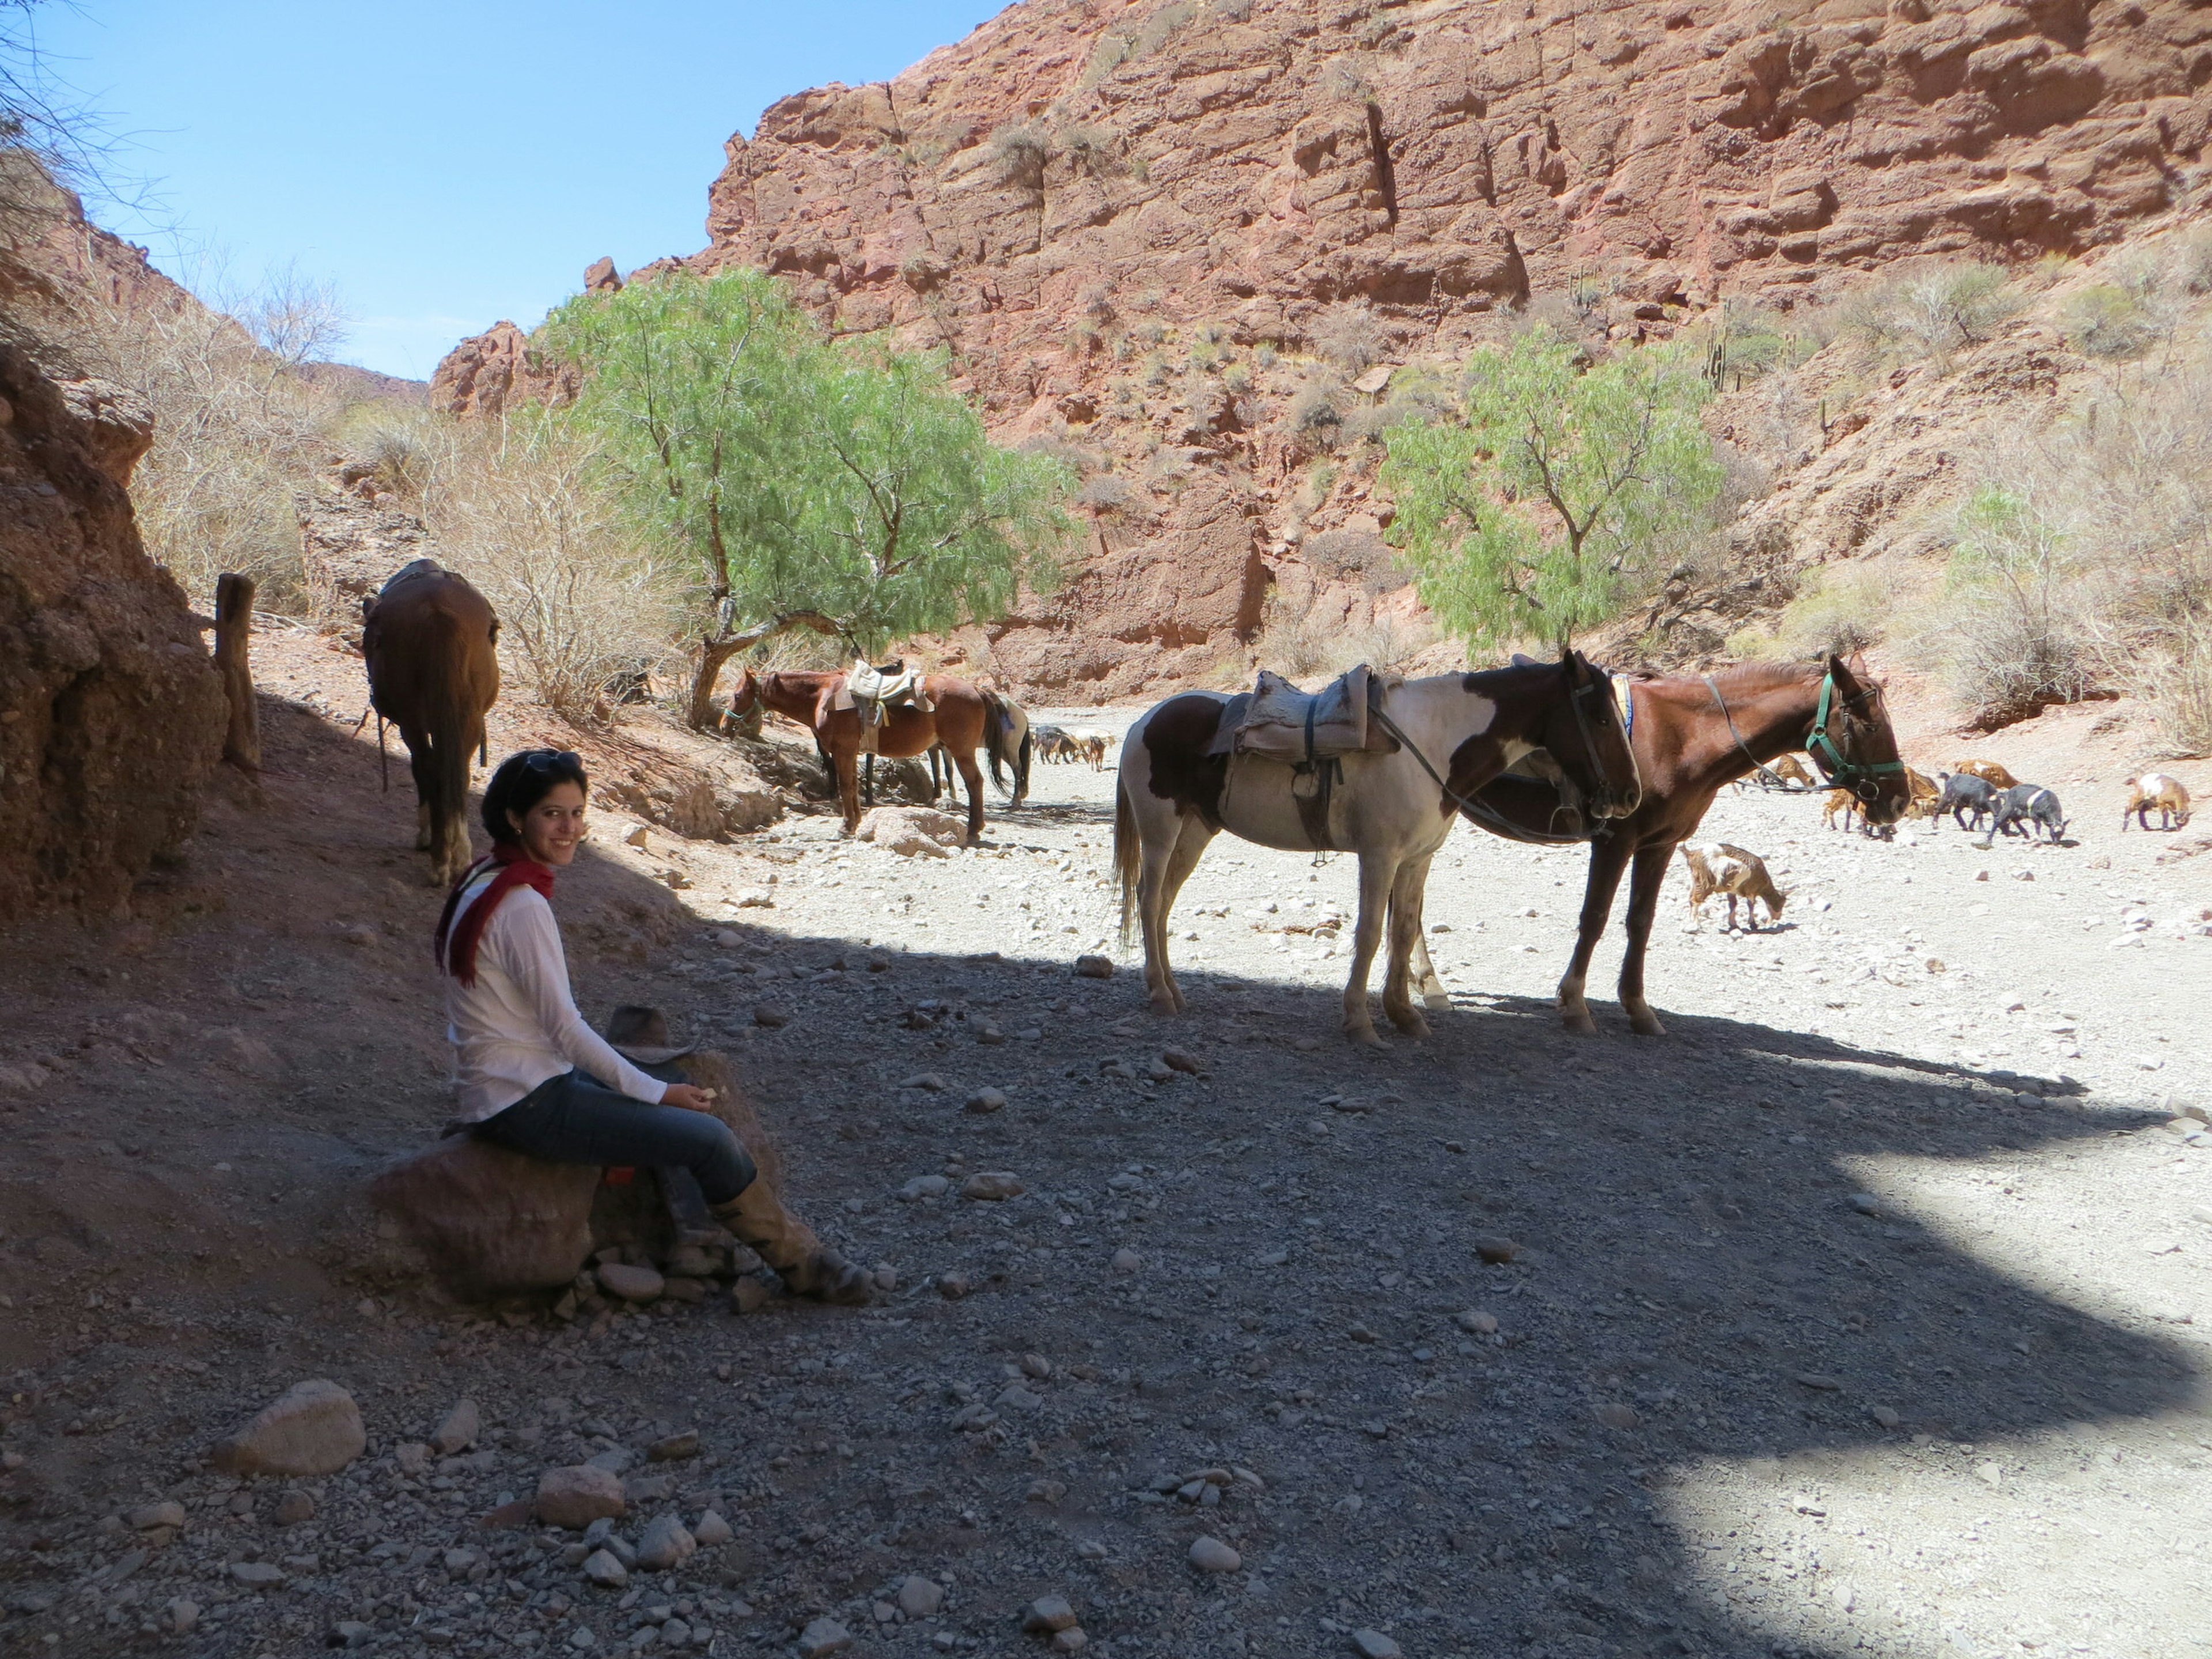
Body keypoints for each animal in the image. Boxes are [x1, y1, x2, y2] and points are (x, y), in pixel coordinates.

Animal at [362, 559, 502, 889]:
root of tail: (440, 611)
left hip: (412, 719)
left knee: (427, 767)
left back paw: (438, 856)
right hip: (469, 716)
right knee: (457, 772)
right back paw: (459, 857)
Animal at [725, 668, 995, 844]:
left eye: (738, 696)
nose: (724, 725)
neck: (823, 697)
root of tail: (976, 690)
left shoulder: (842, 751)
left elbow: (846, 786)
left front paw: (845, 828)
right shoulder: (851, 753)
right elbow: (854, 786)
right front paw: (856, 823)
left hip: (961, 751)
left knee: (975, 782)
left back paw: (974, 830)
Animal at [1123, 654, 1645, 1044]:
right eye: (1600, 718)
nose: (1630, 796)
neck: (1433, 743)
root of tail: (1143, 721)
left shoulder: (1417, 858)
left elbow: (1404, 931)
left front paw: (1406, 1015)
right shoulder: (1380, 857)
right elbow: (1372, 933)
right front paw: (1360, 1020)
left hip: (1194, 831)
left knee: (1164, 904)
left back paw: (1173, 989)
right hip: (1160, 830)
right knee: (1148, 902)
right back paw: (1160, 995)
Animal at [1681, 844, 1787, 938]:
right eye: (1781, 903)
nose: (1778, 917)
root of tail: (1691, 854)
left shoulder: (1732, 890)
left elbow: (1733, 904)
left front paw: (1733, 925)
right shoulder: (1751, 889)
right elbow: (1751, 904)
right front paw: (1753, 925)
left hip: (1696, 879)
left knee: (1691, 899)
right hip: (1706, 881)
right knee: (1696, 900)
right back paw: (1695, 926)